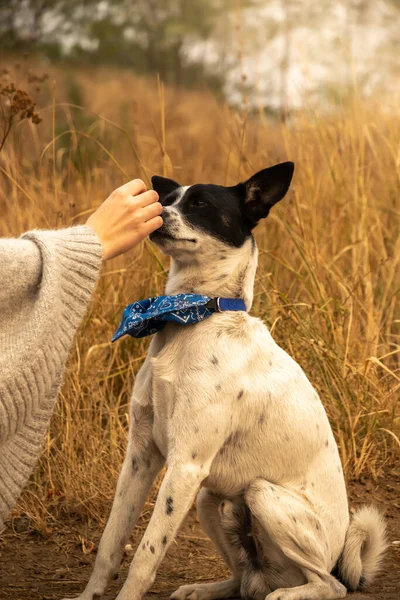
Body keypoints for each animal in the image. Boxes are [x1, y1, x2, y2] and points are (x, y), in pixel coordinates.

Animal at [65, 163, 388, 600]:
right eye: (166, 200)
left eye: (199, 204)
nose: (158, 212)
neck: (191, 316)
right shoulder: (141, 456)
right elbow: (111, 541)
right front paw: (90, 595)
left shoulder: (185, 465)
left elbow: (146, 555)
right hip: (210, 498)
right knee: (243, 580)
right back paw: (207, 588)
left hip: (261, 494)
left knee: (328, 585)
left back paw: (288, 594)